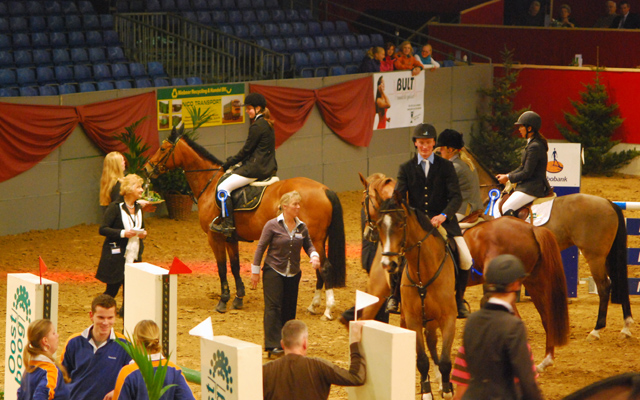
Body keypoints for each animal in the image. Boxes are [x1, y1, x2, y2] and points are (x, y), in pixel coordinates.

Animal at [145, 126, 344, 318]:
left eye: (162, 148)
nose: (147, 168)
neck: (210, 184)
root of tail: (324, 189)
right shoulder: (230, 237)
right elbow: (235, 266)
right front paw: (238, 298)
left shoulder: (214, 237)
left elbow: (221, 268)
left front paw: (223, 300)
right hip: (314, 239)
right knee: (318, 267)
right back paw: (313, 306)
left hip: (314, 238)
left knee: (325, 268)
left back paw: (327, 311)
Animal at [464, 148, 636, 340]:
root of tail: (608, 202)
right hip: (606, 255)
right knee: (619, 281)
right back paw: (625, 327)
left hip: (595, 256)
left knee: (604, 287)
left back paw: (596, 330)